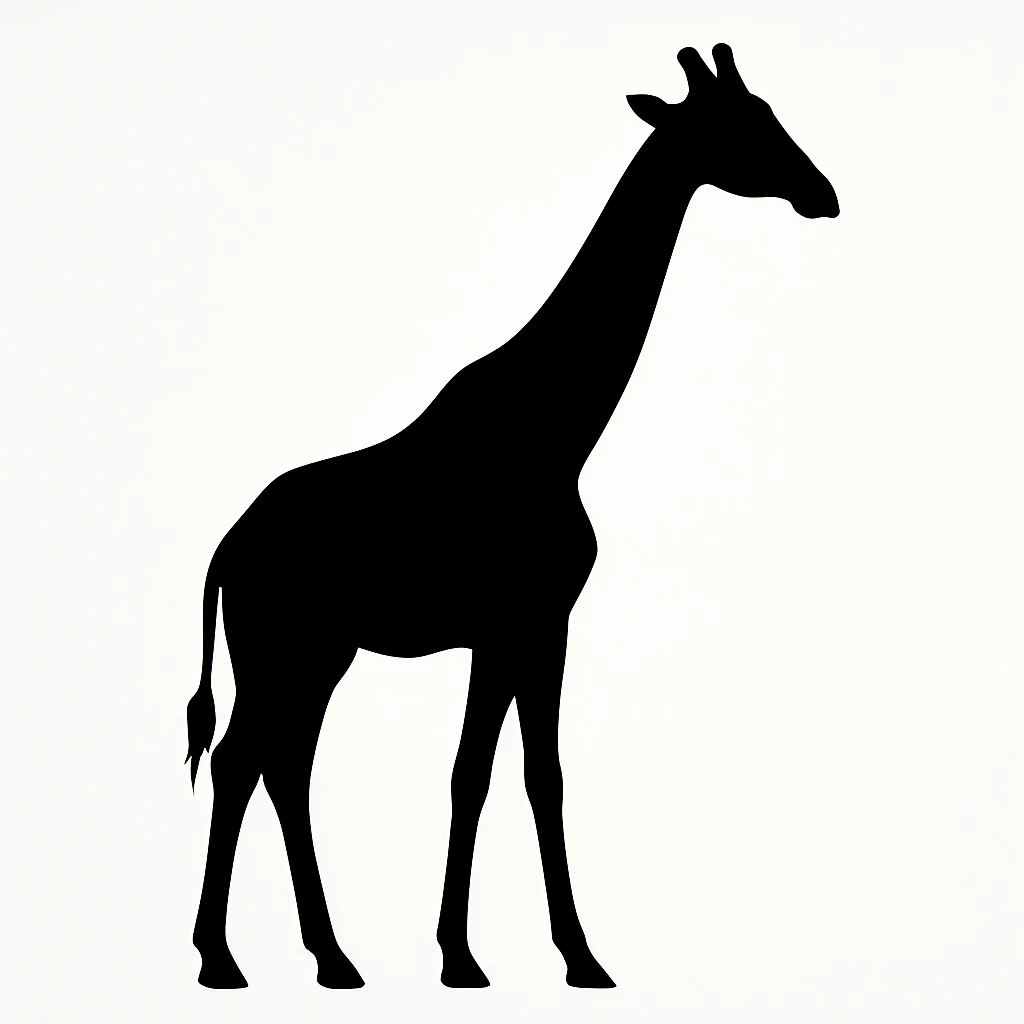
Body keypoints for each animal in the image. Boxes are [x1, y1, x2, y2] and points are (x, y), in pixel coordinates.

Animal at [186, 44, 839, 990]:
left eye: (769, 113)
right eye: (740, 126)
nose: (823, 191)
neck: (560, 431)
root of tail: (226, 548)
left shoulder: (541, 625)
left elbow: (539, 773)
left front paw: (574, 956)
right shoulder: (510, 625)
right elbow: (479, 775)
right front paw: (466, 958)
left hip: (319, 651)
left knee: (282, 763)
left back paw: (330, 957)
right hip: (284, 646)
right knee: (247, 760)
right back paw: (222, 959)